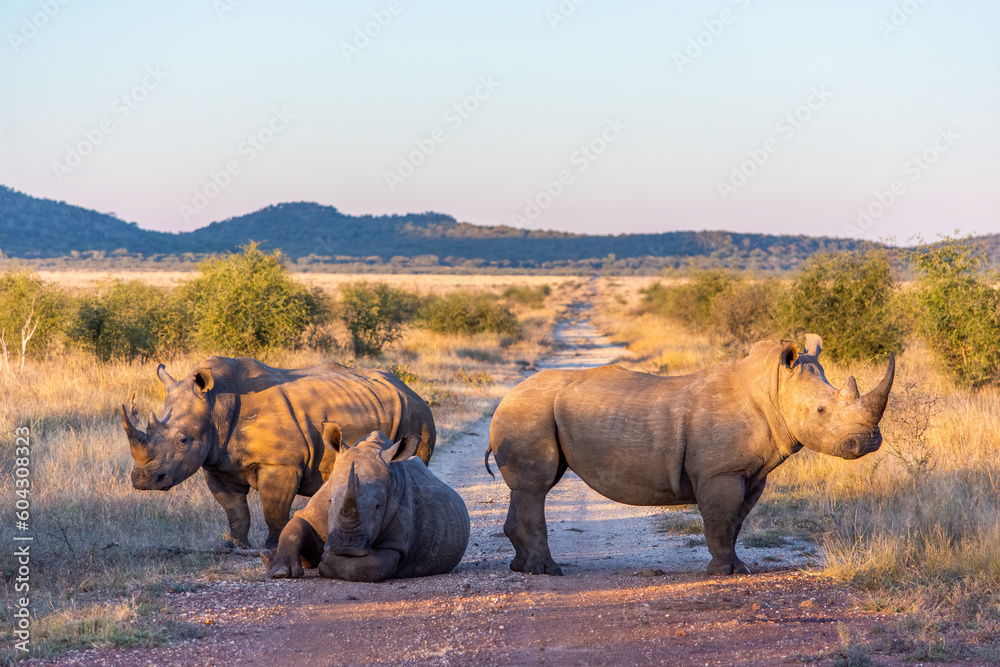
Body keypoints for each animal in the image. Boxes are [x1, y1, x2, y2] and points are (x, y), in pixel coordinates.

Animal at [121, 356, 436, 549]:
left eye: (183, 440)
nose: (144, 481)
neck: (216, 404)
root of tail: (409, 387)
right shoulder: (216, 462)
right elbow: (235, 510)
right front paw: (236, 545)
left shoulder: (280, 464)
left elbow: (273, 508)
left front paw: (272, 545)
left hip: (416, 414)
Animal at [262, 425, 470, 581]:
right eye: (330, 501)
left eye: (378, 506)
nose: (345, 547)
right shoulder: (315, 511)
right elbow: (296, 527)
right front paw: (280, 572)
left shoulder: (395, 542)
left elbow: (368, 566)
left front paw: (328, 562)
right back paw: (267, 557)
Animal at [485, 334, 894, 576]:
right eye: (822, 411)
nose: (869, 442)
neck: (772, 387)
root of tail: (505, 396)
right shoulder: (721, 472)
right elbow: (721, 519)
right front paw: (726, 573)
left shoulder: (752, 471)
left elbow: (736, 522)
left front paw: (737, 567)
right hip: (528, 411)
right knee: (536, 488)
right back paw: (547, 571)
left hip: (532, 410)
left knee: (527, 489)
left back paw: (520, 567)